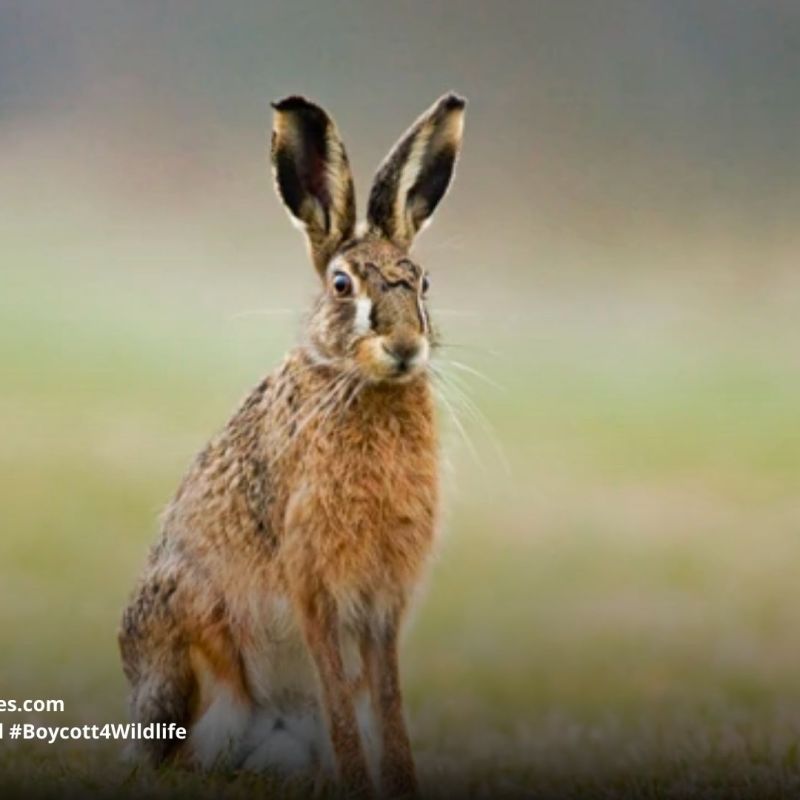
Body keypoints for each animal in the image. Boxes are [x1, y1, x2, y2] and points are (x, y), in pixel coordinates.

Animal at [118, 92, 466, 798]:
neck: (360, 385)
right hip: (190, 641)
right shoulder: (314, 586)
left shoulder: (383, 603)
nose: (405, 347)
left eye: (423, 284)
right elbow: (337, 690)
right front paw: (359, 783)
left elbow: (387, 698)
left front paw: (400, 783)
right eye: (342, 286)